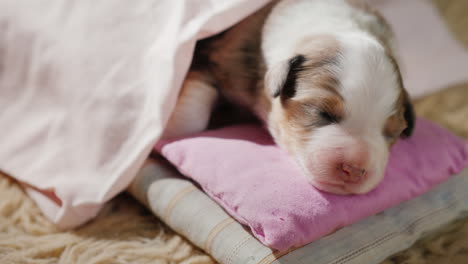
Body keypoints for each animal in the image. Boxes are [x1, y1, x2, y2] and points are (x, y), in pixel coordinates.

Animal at [163, 0, 414, 194]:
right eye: (323, 113)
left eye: (393, 133)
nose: (353, 170)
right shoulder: (217, 57)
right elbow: (189, 122)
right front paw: (167, 130)